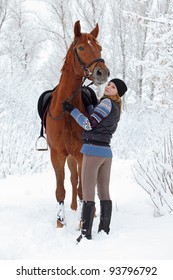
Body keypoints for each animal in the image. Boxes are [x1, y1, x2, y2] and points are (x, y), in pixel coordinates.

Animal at [44, 21, 109, 228]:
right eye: (81, 48)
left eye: (99, 48)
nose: (102, 72)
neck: (66, 112)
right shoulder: (57, 155)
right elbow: (60, 189)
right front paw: (60, 222)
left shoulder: (81, 154)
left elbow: (83, 188)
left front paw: (83, 221)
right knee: (73, 179)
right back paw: (72, 208)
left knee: (80, 183)